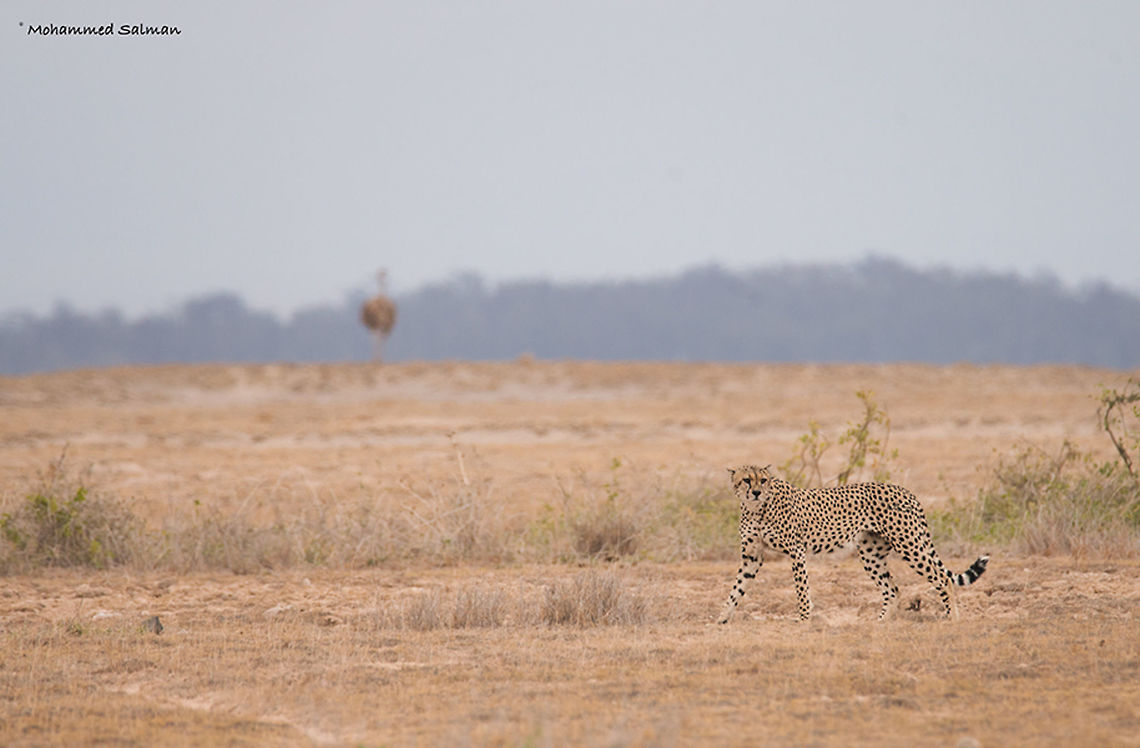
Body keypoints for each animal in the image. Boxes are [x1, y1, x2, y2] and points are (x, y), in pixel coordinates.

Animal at [718, 464, 988, 623]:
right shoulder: (752, 557)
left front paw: (804, 619)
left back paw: (952, 618)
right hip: (871, 554)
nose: (755, 492)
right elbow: (736, 589)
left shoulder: (796, 552)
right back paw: (880, 623)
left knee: (942, 579)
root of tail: (906, 490)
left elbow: (801, 589)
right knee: (893, 589)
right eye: (746, 480)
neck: (755, 509)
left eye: (763, 480)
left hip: (909, 544)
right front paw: (722, 618)